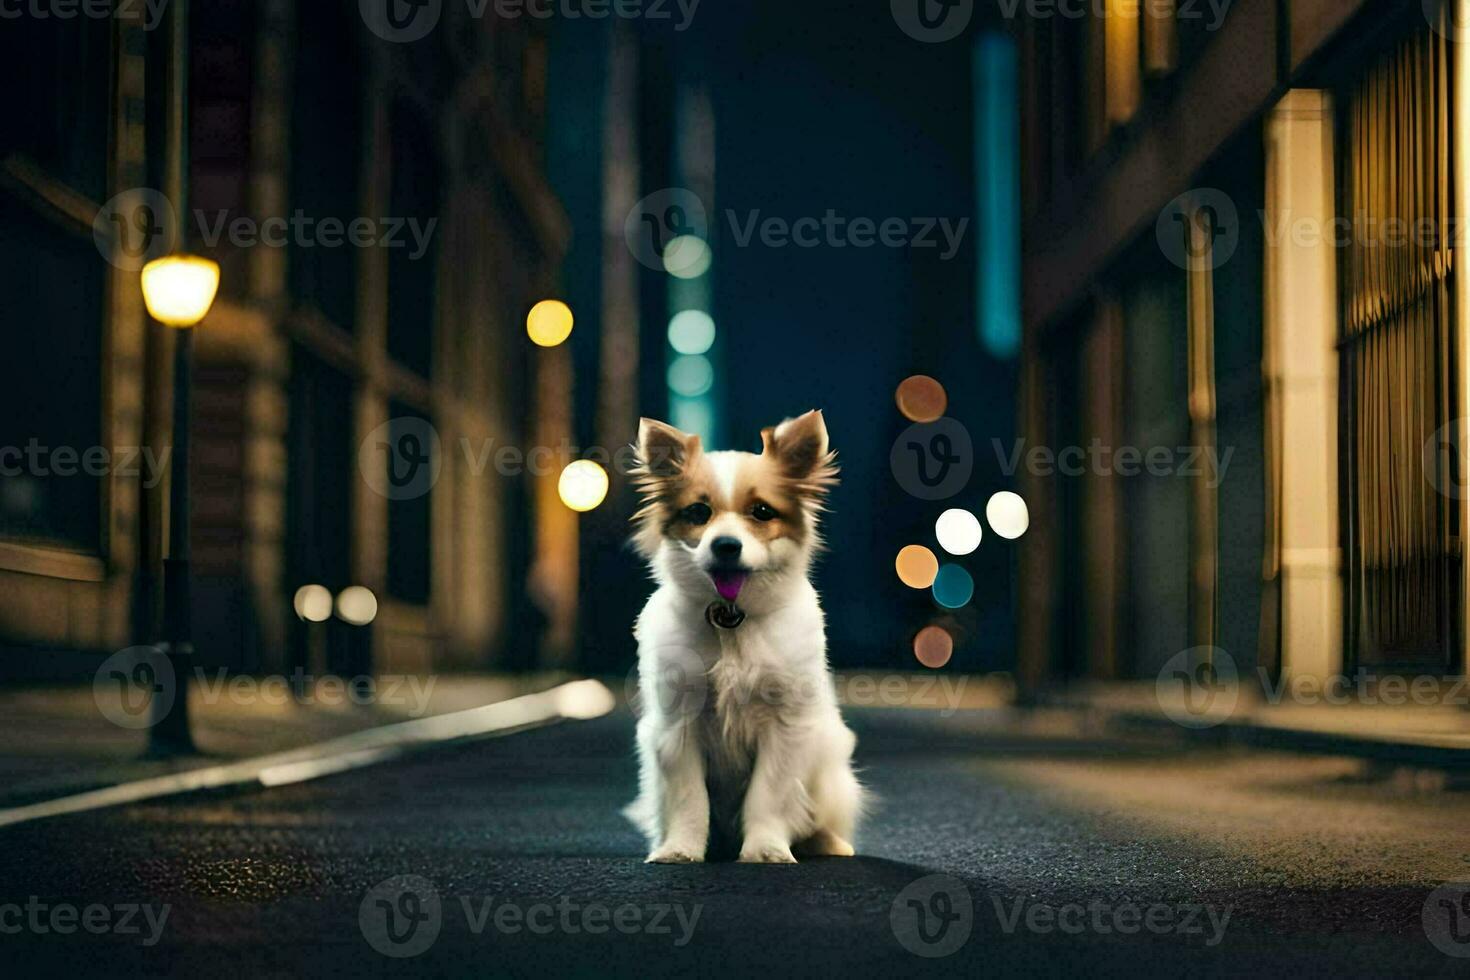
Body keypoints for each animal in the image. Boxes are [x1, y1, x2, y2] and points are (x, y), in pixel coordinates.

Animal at [620, 411, 858, 863]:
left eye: (762, 512)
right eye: (698, 512)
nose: (726, 545)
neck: (730, 619)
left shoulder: (785, 729)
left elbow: (768, 796)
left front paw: (765, 849)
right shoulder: (676, 729)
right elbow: (690, 799)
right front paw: (681, 849)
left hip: (829, 767)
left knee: (819, 819)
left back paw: (830, 844)